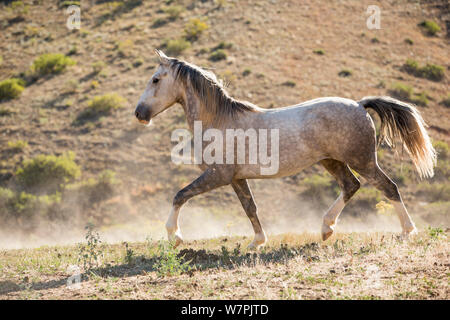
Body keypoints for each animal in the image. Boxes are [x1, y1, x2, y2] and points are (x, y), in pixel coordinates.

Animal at [134, 50, 436, 249]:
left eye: (156, 79)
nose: (139, 113)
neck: (219, 121)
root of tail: (359, 105)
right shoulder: (236, 178)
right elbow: (250, 207)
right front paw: (257, 242)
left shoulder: (217, 175)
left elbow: (180, 195)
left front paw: (174, 236)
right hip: (332, 161)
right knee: (351, 186)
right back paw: (326, 229)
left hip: (362, 160)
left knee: (389, 187)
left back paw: (407, 232)